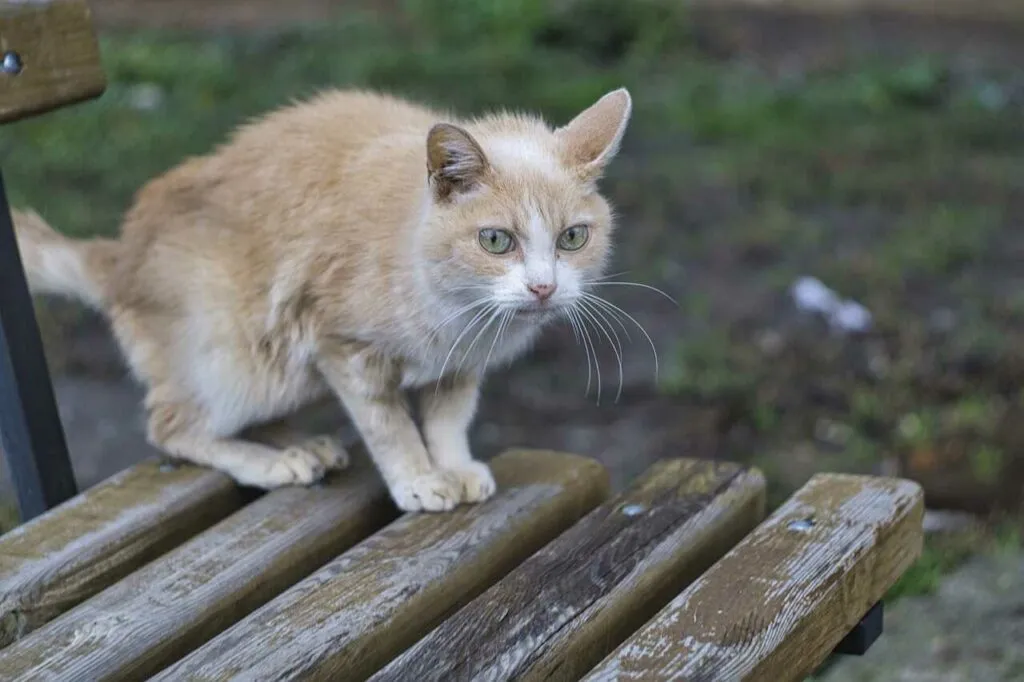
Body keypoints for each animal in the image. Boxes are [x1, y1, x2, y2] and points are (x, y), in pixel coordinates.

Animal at [12, 86, 626, 509]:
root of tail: (120, 256)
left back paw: (300, 444)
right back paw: (272, 462)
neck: (457, 313)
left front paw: (454, 465)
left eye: (573, 238)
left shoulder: (460, 364)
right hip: (240, 357)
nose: (543, 286)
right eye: (496, 240)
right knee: (175, 427)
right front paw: (419, 479)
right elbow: (389, 425)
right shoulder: (341, 346)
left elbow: (449, 419)